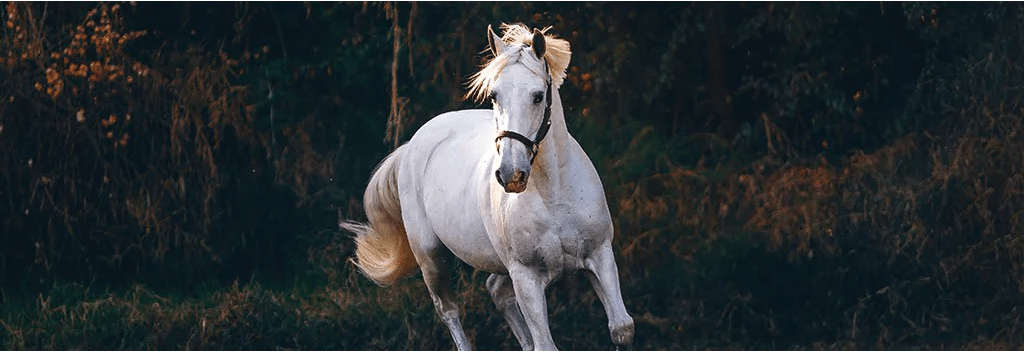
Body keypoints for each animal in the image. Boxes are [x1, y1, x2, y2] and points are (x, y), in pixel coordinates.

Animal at [339, 23, 634, 349]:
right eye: (494, 95)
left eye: (538, 96)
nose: (511, 175)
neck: (553, 195)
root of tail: (412, 145)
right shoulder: (526, 278)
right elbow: (545, 344)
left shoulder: (600, 255)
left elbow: (621, 328)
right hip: (432, 258)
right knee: (448, 309)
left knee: (495, 290)